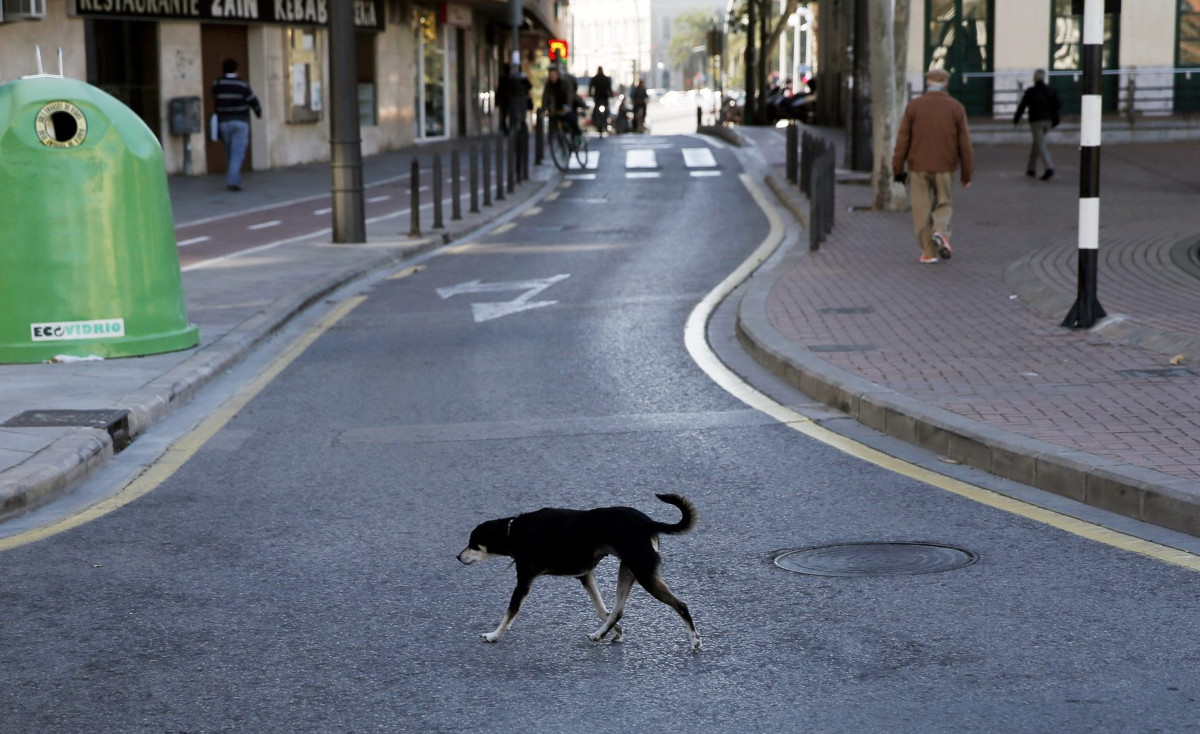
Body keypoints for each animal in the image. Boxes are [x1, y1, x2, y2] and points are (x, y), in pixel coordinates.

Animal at [458, 494, 700, 647]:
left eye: (472, 543)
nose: (458, 557)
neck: (513, 531)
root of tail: (649, 522)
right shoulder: (586, 575)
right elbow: (602, 610)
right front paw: (617, 631)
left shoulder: (523, 583)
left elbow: (509, 613)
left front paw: (493, 636)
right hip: (629, 570)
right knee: (618, 610)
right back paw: (599, 634)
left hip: (644, 574)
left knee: (681, 605)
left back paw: (694, 640)